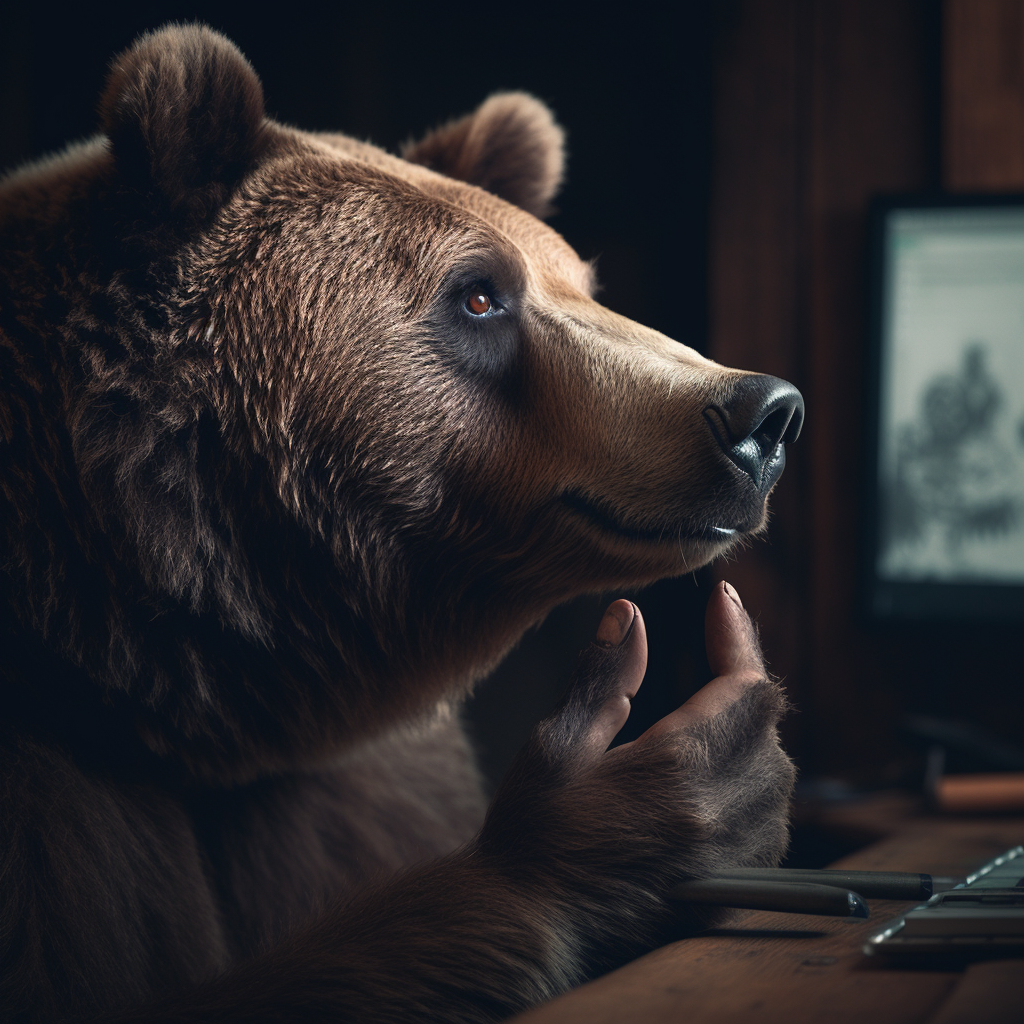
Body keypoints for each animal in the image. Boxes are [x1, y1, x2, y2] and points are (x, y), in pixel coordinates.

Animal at [0, 22, 798, 1024]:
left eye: (582, 283)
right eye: (479, 292)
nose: (765, 414)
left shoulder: (350, 792)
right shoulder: (55, 813)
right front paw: (642, 814)